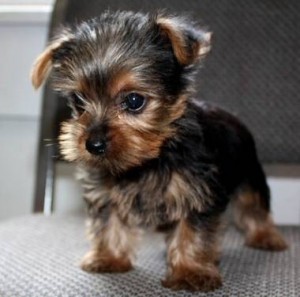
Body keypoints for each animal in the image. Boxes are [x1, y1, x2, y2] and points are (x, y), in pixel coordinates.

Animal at [31, 11, 288, 292]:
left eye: (134, 101)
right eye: (78, 101)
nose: (93, 144)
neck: (148, 160)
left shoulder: (196, 191)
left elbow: (193, 230)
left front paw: (190, 271)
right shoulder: (105, 191)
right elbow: (109, 221)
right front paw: (109, 257)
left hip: (250, 172)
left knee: (255, 206)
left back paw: (266, 237)